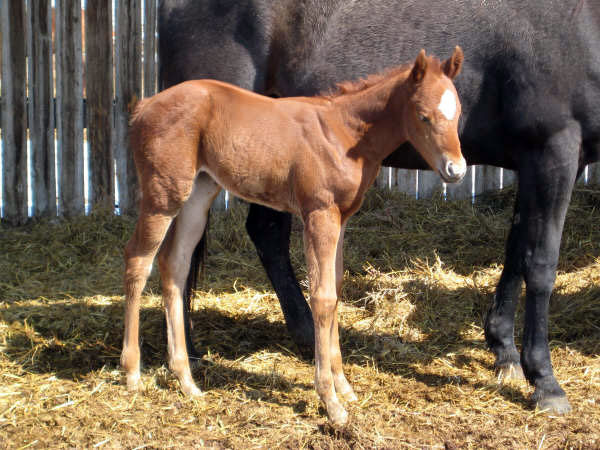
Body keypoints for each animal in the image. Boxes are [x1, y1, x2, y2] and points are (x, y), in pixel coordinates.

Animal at [122, 46, 466, 426]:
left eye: (458, 112)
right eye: (423, 116)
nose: (456, 170)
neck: (345, 134)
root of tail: (143, 106)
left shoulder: (341, 219)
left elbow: (336, 288)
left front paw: (344, 386)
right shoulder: (319, 214)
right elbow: (323, 297)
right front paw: (331, 400)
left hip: (198, 193)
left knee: (175, 266)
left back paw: (186, 380)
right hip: (163, 195)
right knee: (138, 260)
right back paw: (132, 373)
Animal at [158, 0, 600, 414]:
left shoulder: (540, 162)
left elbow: (517, 251)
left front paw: (504, 351)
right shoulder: (553, 150)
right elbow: (541, 265)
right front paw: (545, 382)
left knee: (264, 233)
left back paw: (303, 334)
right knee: (183, 252)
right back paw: (193, 353)